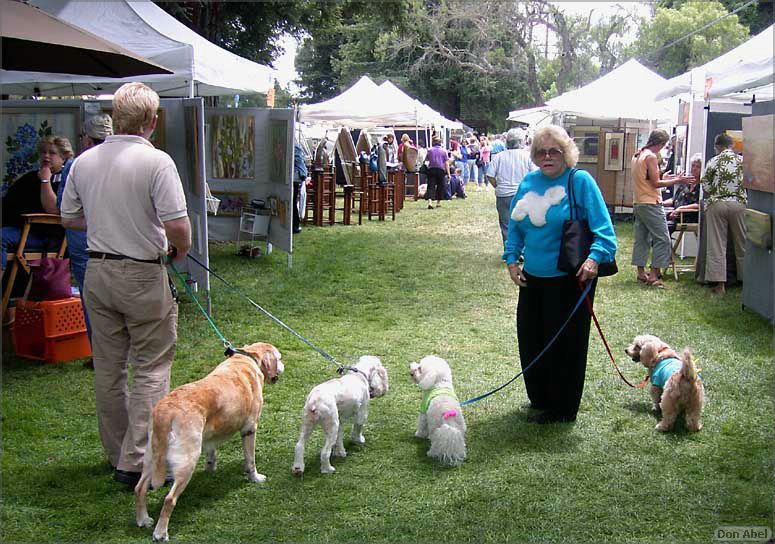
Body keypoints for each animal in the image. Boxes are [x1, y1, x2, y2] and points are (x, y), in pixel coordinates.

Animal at [135, 340, 284, 540]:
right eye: (279, 358)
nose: (283, 365)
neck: (247, 358)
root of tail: (166, 410)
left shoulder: (210, 436)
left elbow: (211, 454)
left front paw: (210, 470)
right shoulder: (250, 429)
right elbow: (250, 460)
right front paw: (255, 478)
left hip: (151, 457)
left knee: (139, 488)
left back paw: (143, 520)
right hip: (187, 460)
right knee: (169, 499)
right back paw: (160, 533)